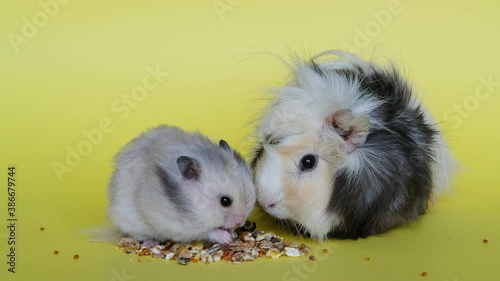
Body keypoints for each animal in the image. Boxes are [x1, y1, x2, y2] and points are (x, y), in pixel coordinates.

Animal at [107, 124, 256, 243]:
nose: (241, 222)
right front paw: (227, 238)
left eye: (246, 196)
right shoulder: (176, 225)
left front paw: (231, 231)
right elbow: (207, 231)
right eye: (225, 201)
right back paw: (150, 243)